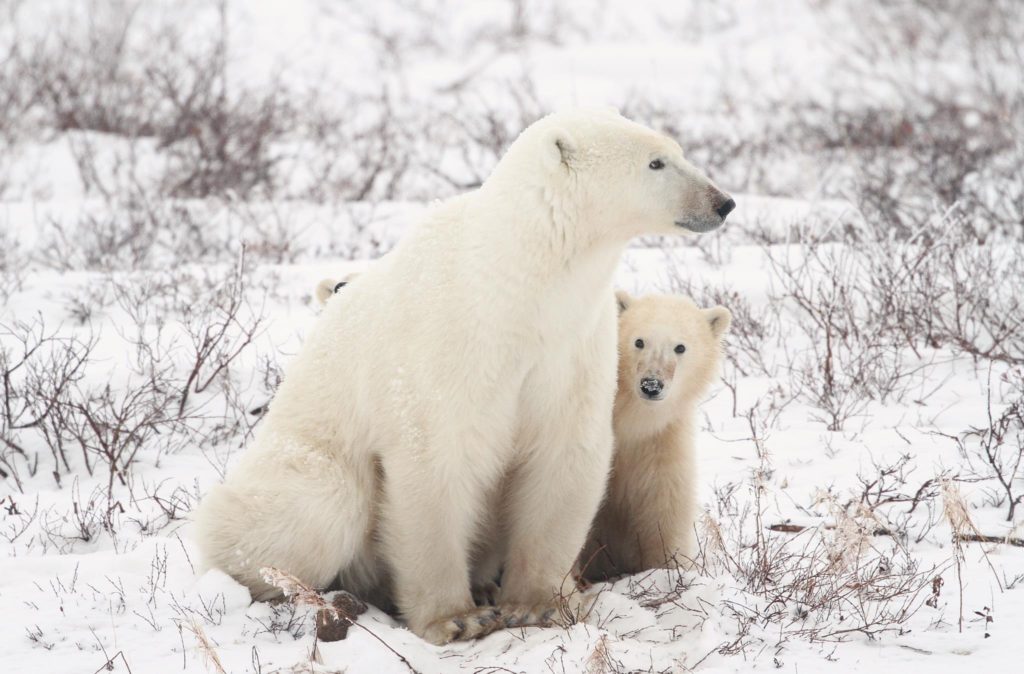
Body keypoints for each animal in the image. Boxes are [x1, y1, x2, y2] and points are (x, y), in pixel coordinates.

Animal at [580, 292, 731, 581]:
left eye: (680, 347)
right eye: (639, 341)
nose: (651, 385)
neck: (629, 419)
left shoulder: (660, 444)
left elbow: (663, 510)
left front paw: (669, 570)